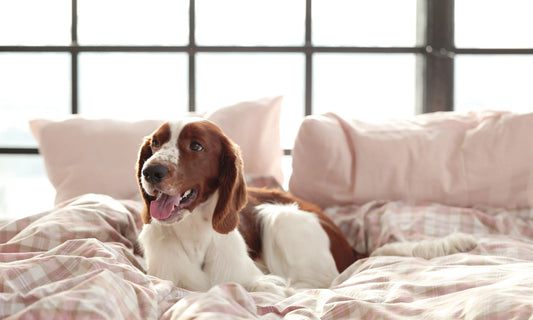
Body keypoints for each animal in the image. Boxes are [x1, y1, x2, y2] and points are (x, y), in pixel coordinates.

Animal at [135, 117, 356, 296]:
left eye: (196, 146)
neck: (194, 236)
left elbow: (270, 287)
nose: (150, 171)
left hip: (280, 216)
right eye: (155, 143)